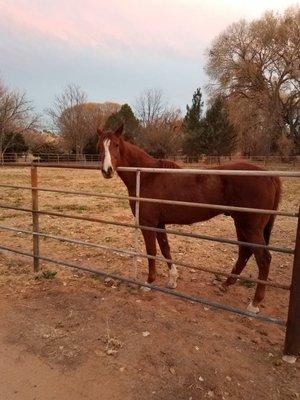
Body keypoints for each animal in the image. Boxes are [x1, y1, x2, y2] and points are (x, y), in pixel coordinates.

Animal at [98, 124, 282, 312]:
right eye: (100, 147)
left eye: (116, 145)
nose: (107, 171)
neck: (148, 176)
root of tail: (270, 176)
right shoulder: (160, 223)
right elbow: (165, 249)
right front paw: (172, 280)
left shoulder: (148, 223)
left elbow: (152, 251)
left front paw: (148, 283)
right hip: (241, 223)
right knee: (245, 252)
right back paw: (225, 284)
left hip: (250, 226)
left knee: (263, 258)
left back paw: (254, 303)